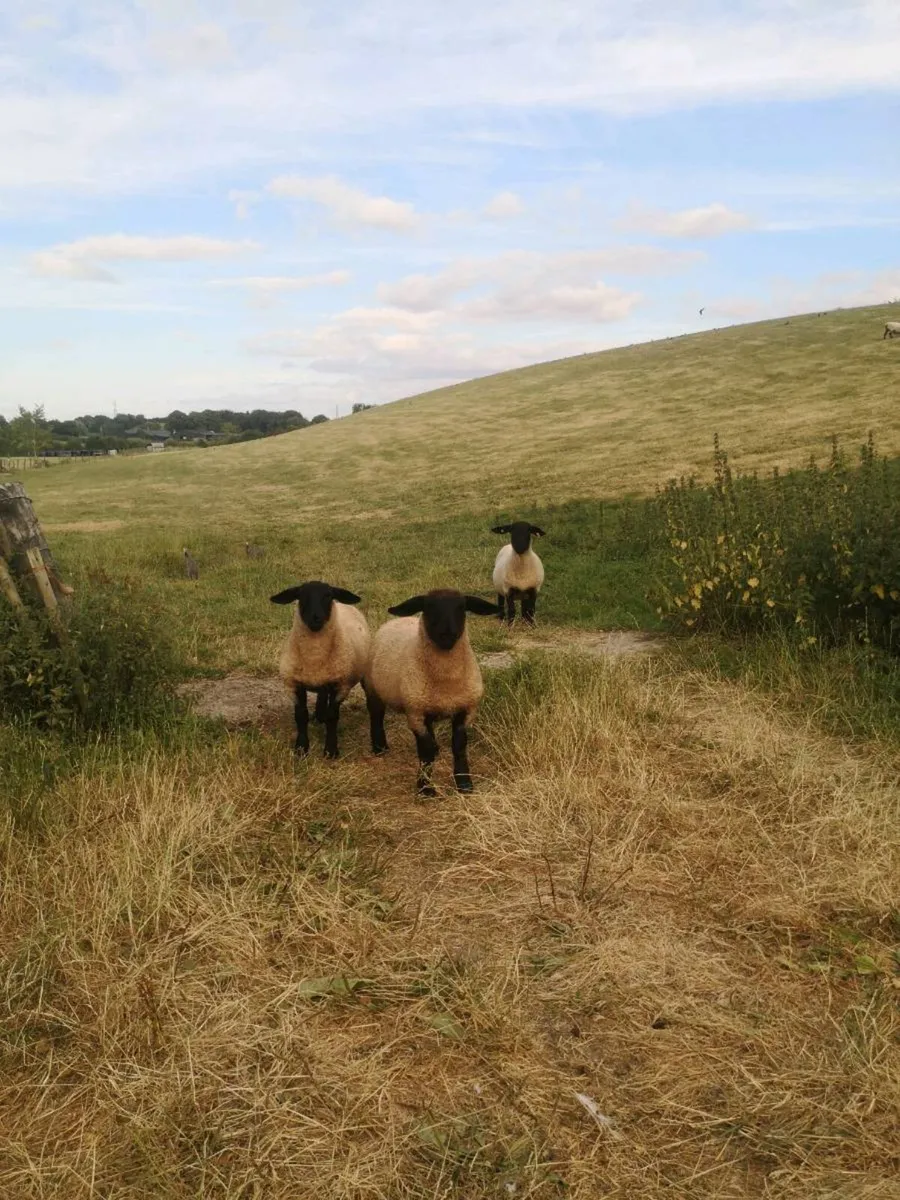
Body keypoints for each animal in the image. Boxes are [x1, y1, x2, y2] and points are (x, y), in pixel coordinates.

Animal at [270, 580, 370, 759]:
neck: (314, 657)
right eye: (300, 595)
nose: (315, 617)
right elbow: (300, 716)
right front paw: (301, 748)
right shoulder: (294, 684)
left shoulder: (340, 685)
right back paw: (318, 715)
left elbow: (332, 717)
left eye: (328, 595)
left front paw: (331, 750)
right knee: (322, 695)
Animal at [364, 589, 501, 796]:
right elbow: (425, 750)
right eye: (428, 607)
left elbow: (459, 746)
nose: (447, 634)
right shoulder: (416, 713)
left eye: (462, 607)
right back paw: (380, 747)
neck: (446, 681)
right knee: (376, 716)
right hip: (374, 689)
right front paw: (425, 787)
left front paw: (464, 784)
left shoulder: (465, 710)